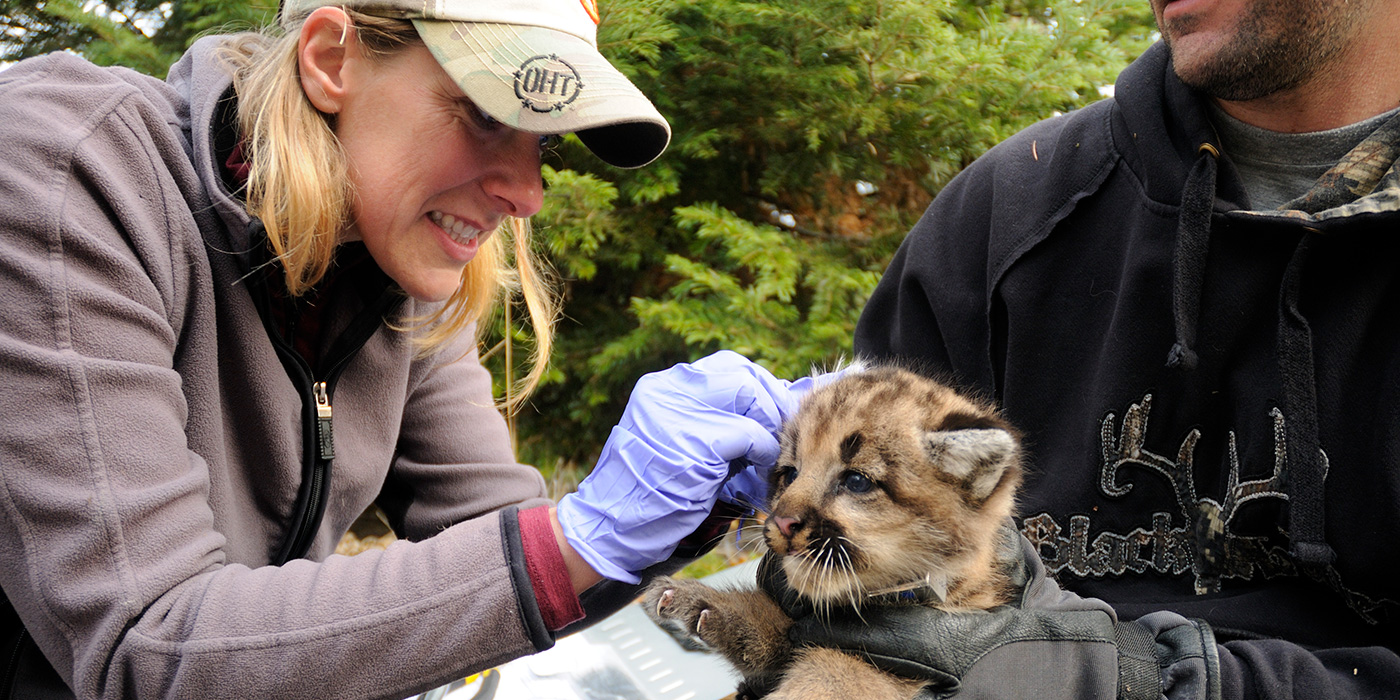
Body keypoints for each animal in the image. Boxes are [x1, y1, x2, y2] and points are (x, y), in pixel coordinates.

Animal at [641, 366, 1019, 700]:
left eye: (857, 481)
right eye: (790, 474)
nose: (782, 522)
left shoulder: (890, 664)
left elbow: (837, 674)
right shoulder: (796, 631)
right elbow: (769, 623)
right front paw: (692, 600)